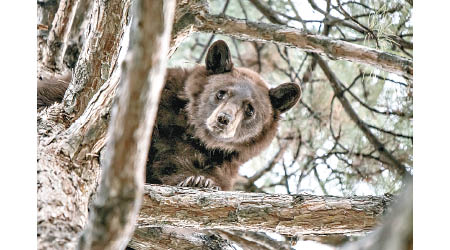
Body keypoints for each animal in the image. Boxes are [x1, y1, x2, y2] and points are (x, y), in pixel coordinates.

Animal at [37, 40, 300, 190]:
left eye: (250, 109)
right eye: (221, 93)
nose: (223, 119)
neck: (194, 135)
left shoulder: (224, 162)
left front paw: (201, 180)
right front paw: (193, 179)